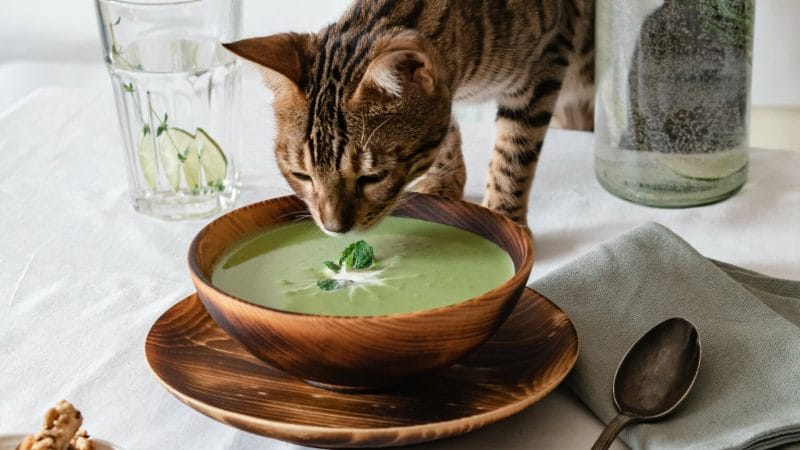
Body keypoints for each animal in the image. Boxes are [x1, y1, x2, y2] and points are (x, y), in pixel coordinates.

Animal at [225, 0, 592, 232]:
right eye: (301, 175)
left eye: (373, 177)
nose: (333, 229)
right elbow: (448, 131)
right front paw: (444, 181)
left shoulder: (548, 56)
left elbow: (513, 152)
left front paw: (505, 219)